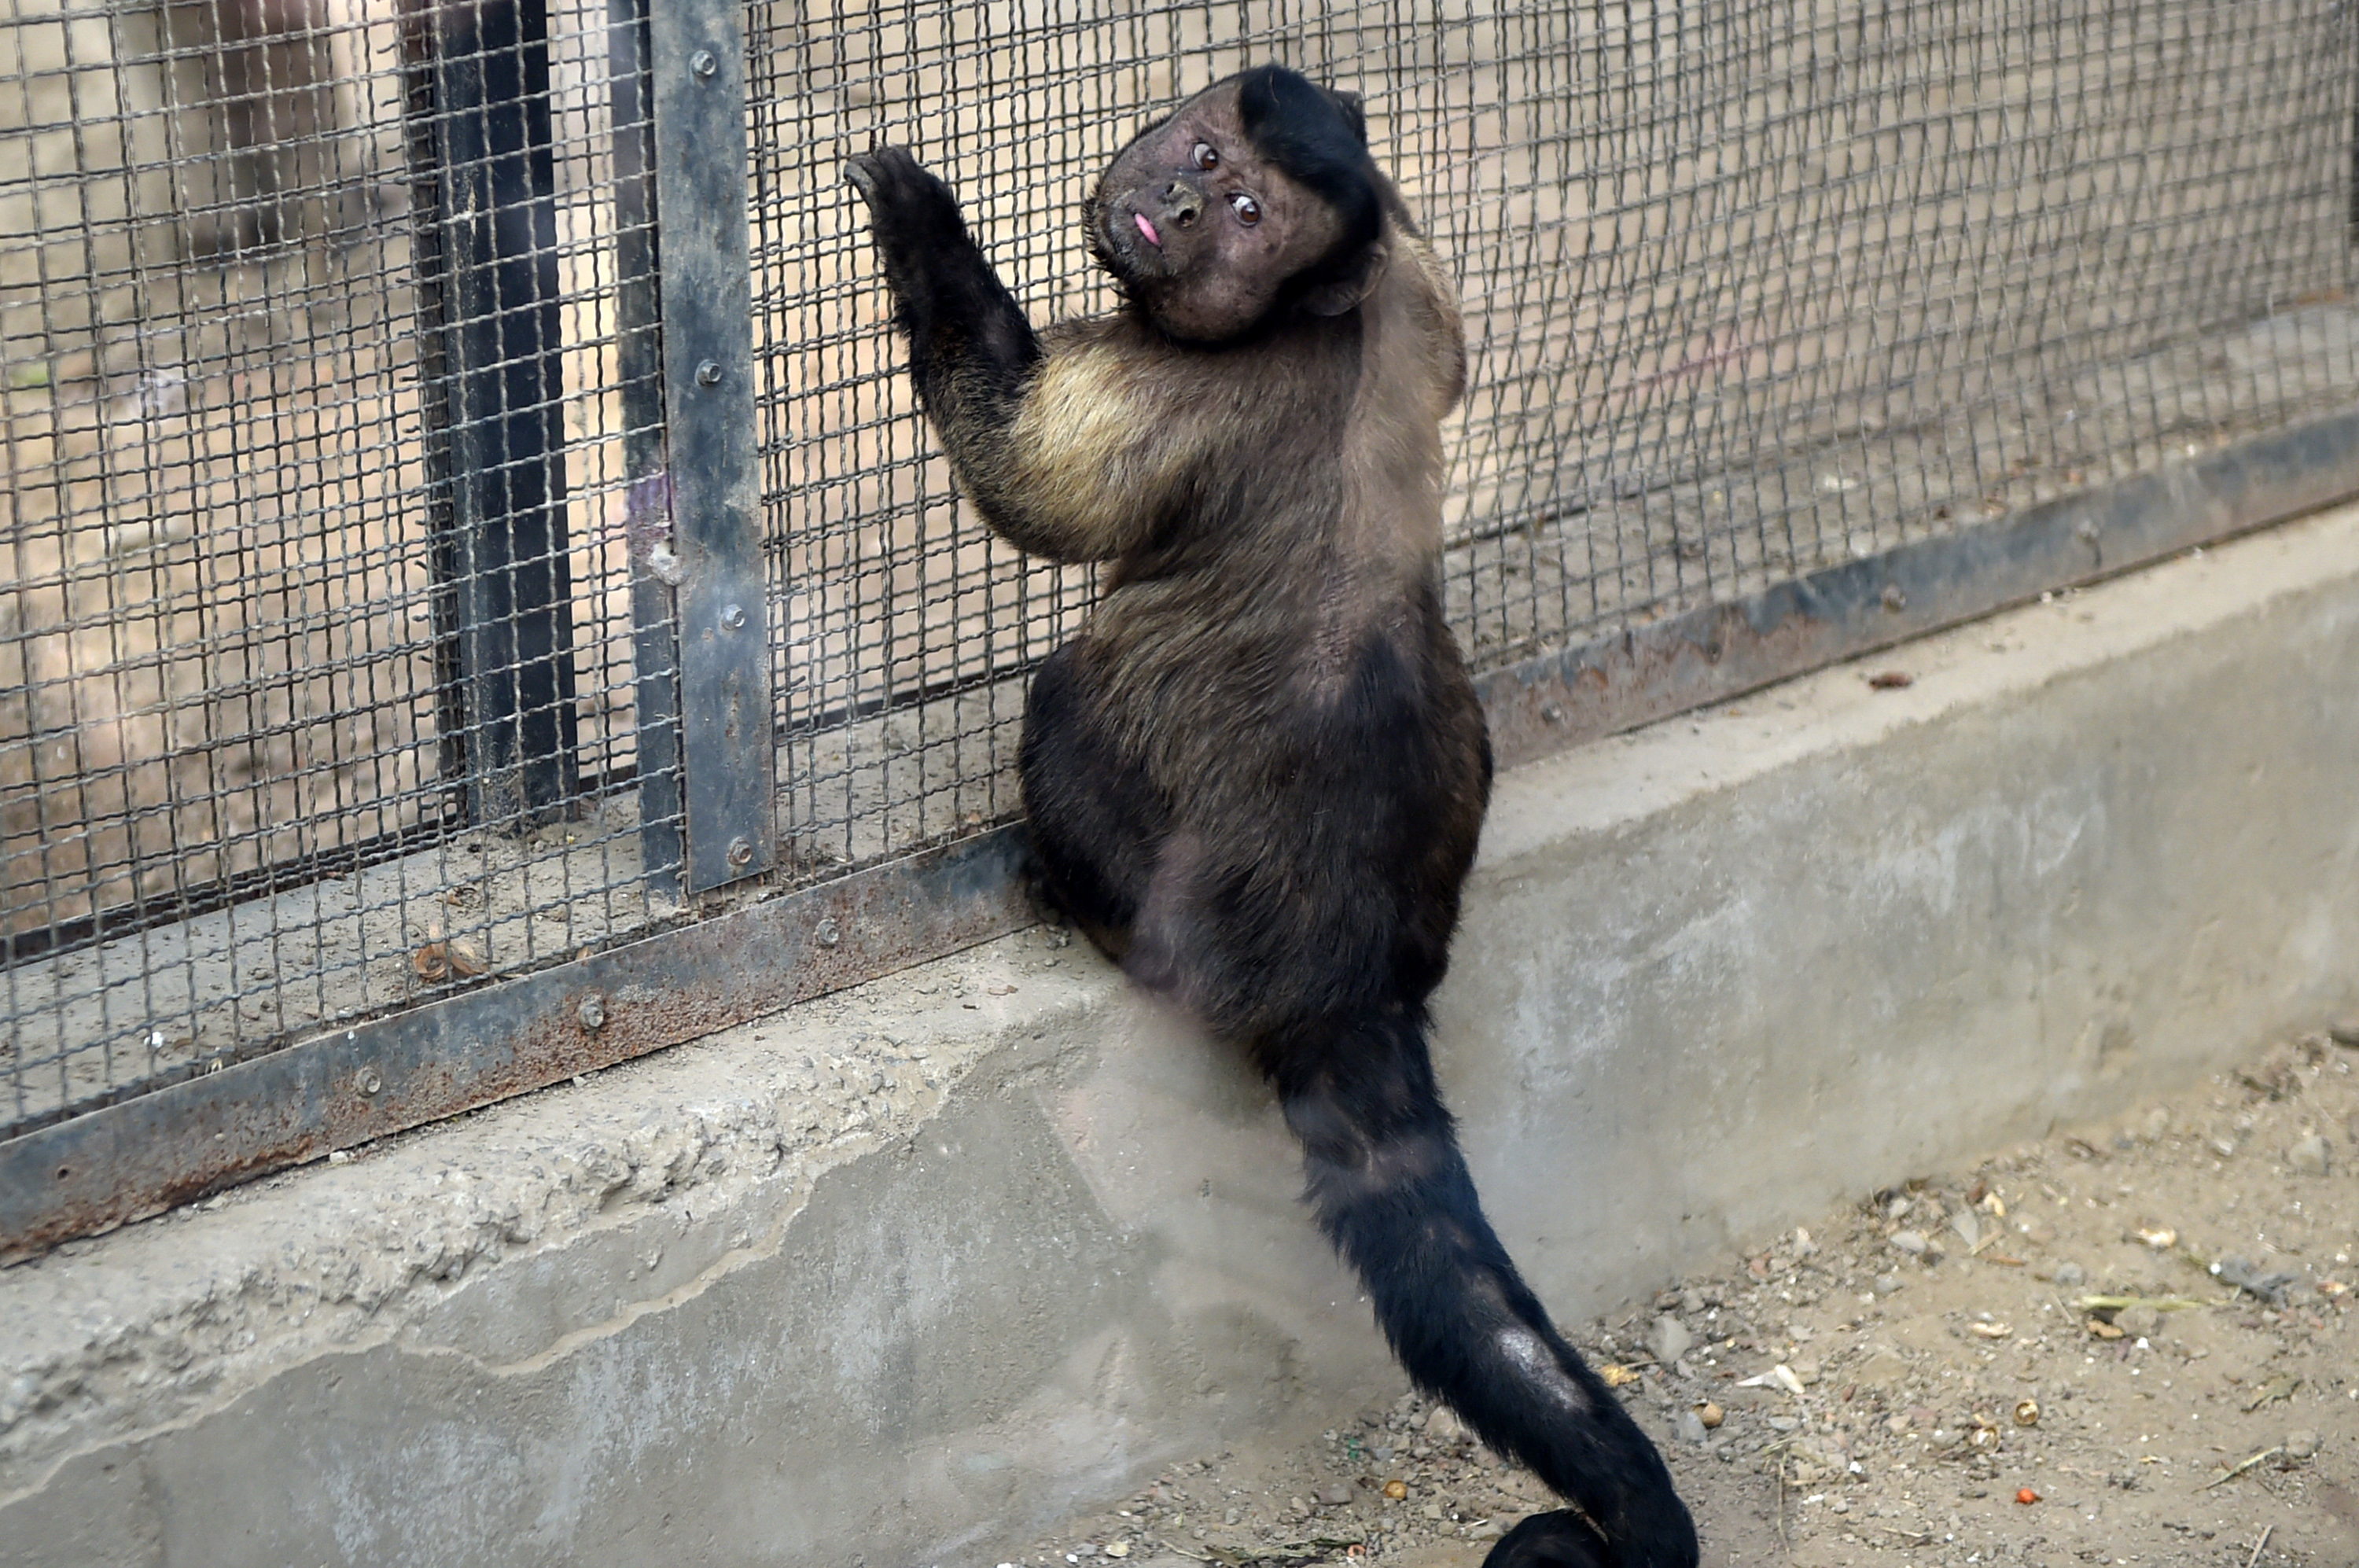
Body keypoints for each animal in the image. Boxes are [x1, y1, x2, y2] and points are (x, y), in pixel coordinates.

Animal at [849, 64, 1698, 1566]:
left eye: (1246, 212)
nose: (1180, 206)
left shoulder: (1175, 386)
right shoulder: (1418, 293)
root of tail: (1349, 979)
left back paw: (1055, 880)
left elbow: (1029, 483)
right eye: (1201, 155)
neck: (1320, 305)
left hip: (1160, 866)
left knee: (1072, 694)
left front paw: (923, 217)